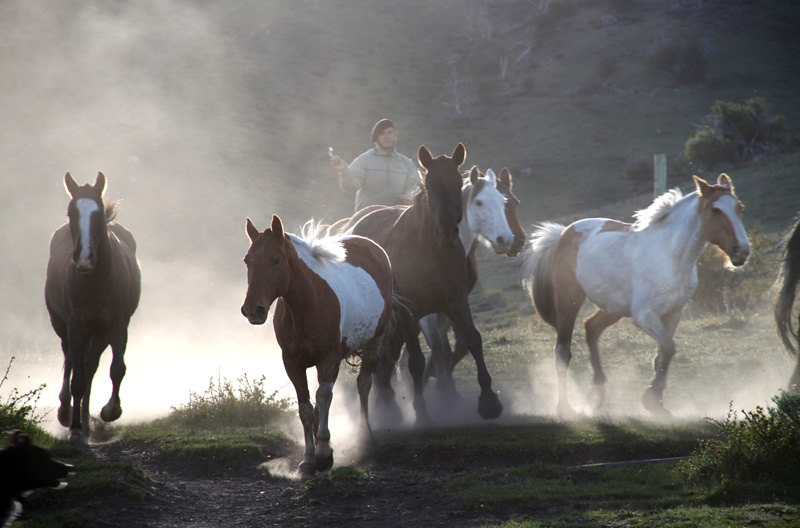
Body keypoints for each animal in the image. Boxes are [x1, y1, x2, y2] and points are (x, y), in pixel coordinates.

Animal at [44, 173, 141, 442]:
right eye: (71, 213)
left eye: (97, 214)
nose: (84, 259)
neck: (96, 282)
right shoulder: (76, 326)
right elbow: (76, 377)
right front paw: (74, 427)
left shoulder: (117, 326)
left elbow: (117, 369)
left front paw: (110, 411)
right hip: (63, 326)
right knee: (70, 361)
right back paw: (67, 413)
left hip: (99, 334)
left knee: (90, 366)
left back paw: (86, 421)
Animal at [346, 143, 504, 420]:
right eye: (429, 185)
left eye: (456, 183)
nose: (447, 232)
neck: (430, 250)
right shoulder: (411, 313)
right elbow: (417, 361)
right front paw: (421, 409)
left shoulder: (455, 301)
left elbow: (472, 339)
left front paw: (488, 400)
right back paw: (388, 405)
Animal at [520, 175, 752, 418]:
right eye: (715, 210)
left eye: (739, 208)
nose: (742, 251)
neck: (670, 256)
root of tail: (563, 234)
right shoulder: (644, 316)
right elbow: (668, 348)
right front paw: (650, 399)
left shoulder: (673, 313)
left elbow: (663, 353)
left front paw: (657, 403)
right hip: (569, 302)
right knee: (562, 352)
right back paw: (565, 408)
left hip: (613, 308)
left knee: (591, 328)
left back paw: (598, 392)